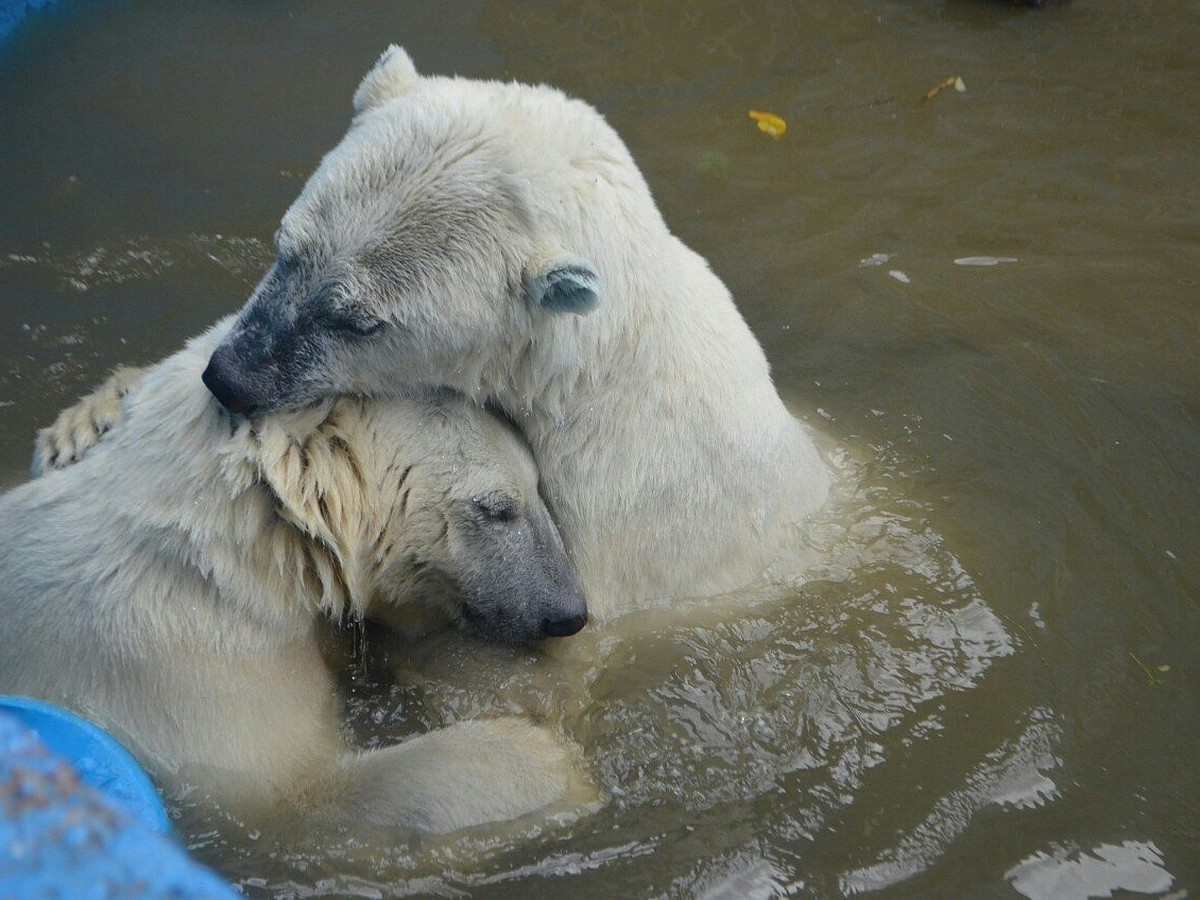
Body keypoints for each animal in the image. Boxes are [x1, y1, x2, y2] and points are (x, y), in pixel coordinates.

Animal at [0, 319, 590, 840]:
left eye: (541, 488)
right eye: (497, 508)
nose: (569, 612)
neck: (237, 554)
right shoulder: (189, 670)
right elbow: (293, 797)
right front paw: (543, 761)